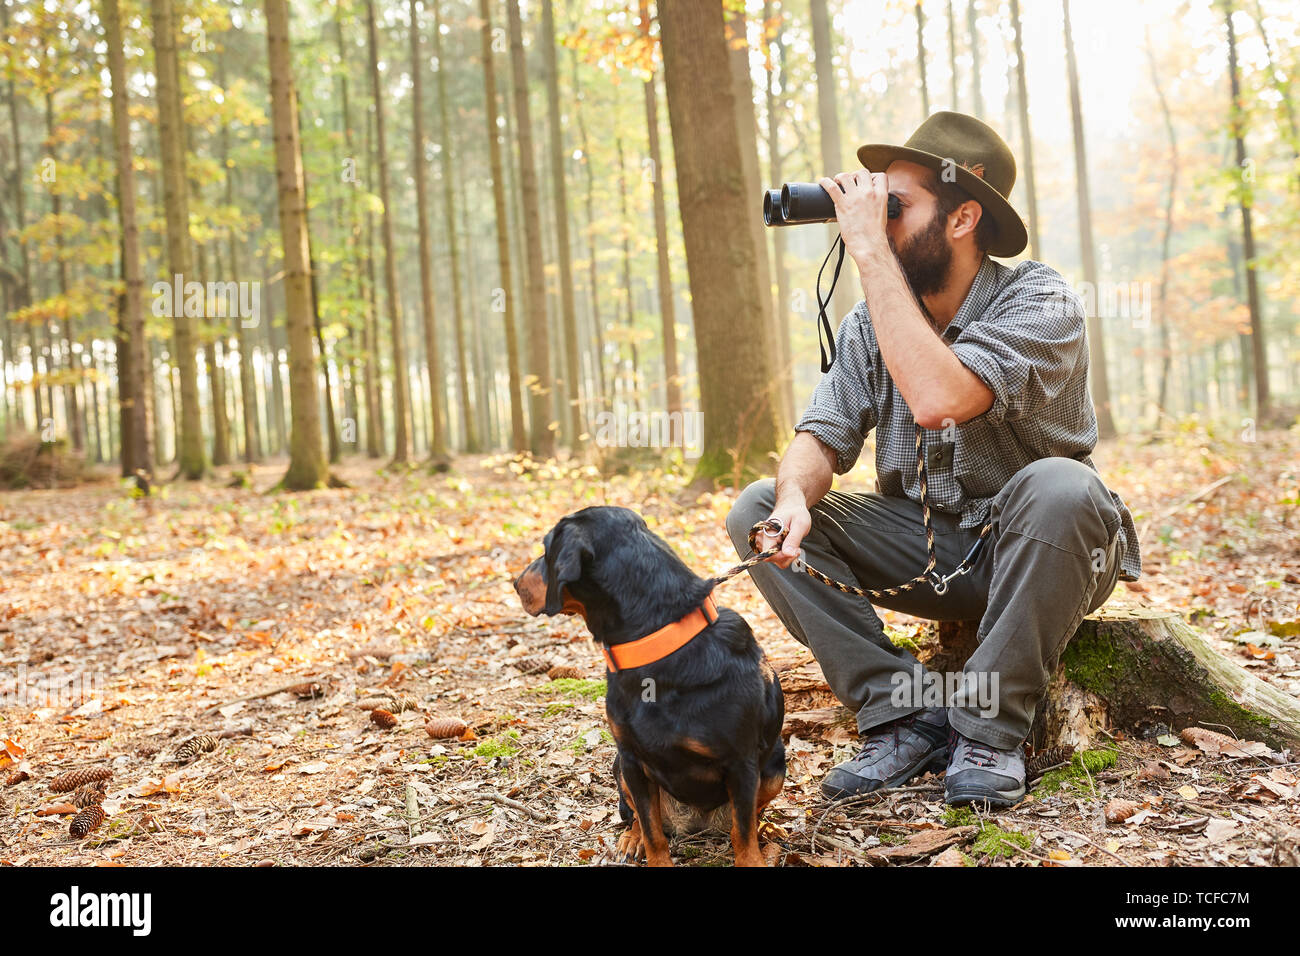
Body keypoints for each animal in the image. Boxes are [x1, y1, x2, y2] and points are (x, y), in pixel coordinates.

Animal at [514, 509, 780, 868]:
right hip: (619, 768)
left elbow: (743, 832)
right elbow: (653, 831)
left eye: (546, 550)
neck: (656, 643)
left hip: (776, 766)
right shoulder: (632, 760)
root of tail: (694, 823)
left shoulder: (742, 764)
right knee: (639, 818)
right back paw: (631, 839)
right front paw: (648, 847)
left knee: (751, 814)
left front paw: (754, 853)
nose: (515, 582)